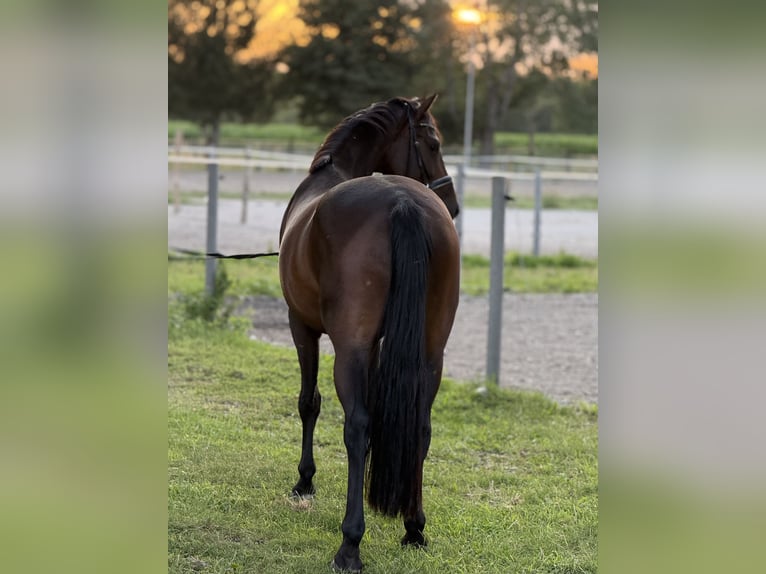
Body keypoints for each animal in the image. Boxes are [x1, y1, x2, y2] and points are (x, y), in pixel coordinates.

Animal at [278, 95, 460, 572]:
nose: (452, 202)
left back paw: (350, 544)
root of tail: (403, 202)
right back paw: (414, 528)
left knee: (356, 426)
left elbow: (309, 402)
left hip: (351, 349)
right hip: (431, 352)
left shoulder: (301, 325)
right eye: (433, 143)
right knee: (421, 425)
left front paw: (304, 481)